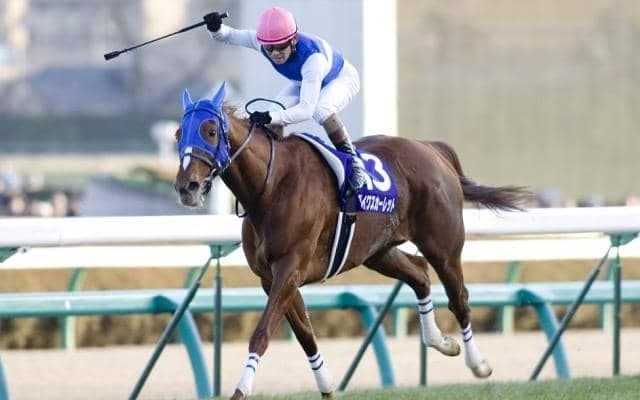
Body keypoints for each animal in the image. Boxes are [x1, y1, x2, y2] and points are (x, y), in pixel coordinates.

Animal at [173, 83, 530, 399]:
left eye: (210, 131)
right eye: (178, 134)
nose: (187, 187)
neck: (271, 185)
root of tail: (432, 149)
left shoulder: (289, 269)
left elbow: (262, 333)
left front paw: (240, 391)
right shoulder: (271, 277)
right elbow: (305, 334)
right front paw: (327, 386)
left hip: (443, 247)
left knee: (459, 298)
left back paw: (478, 364)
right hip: (377, 251)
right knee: (419, 273)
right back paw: (440, 341)